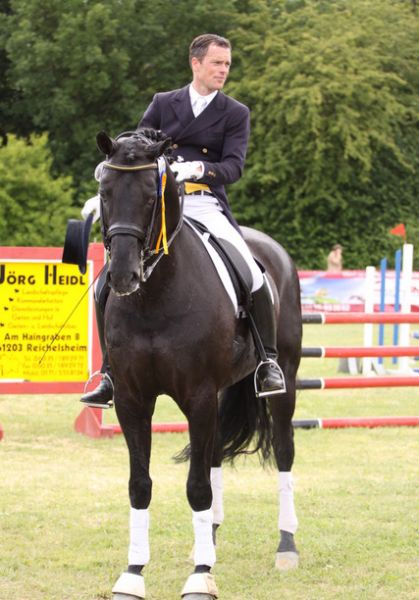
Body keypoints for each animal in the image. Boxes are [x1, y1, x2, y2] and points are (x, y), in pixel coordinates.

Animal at [95, 129, 302, 600]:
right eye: (105, 191)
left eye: (150, 197)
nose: (122, 276)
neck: (155, 296)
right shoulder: (132, 399)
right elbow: (140, 484)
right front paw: (133, 574)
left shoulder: (199, 396)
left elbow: (196, 486)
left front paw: (200, 576)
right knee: (216, 453)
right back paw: (209, 539)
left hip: (285, 379)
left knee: (283, 451)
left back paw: (286, 546)